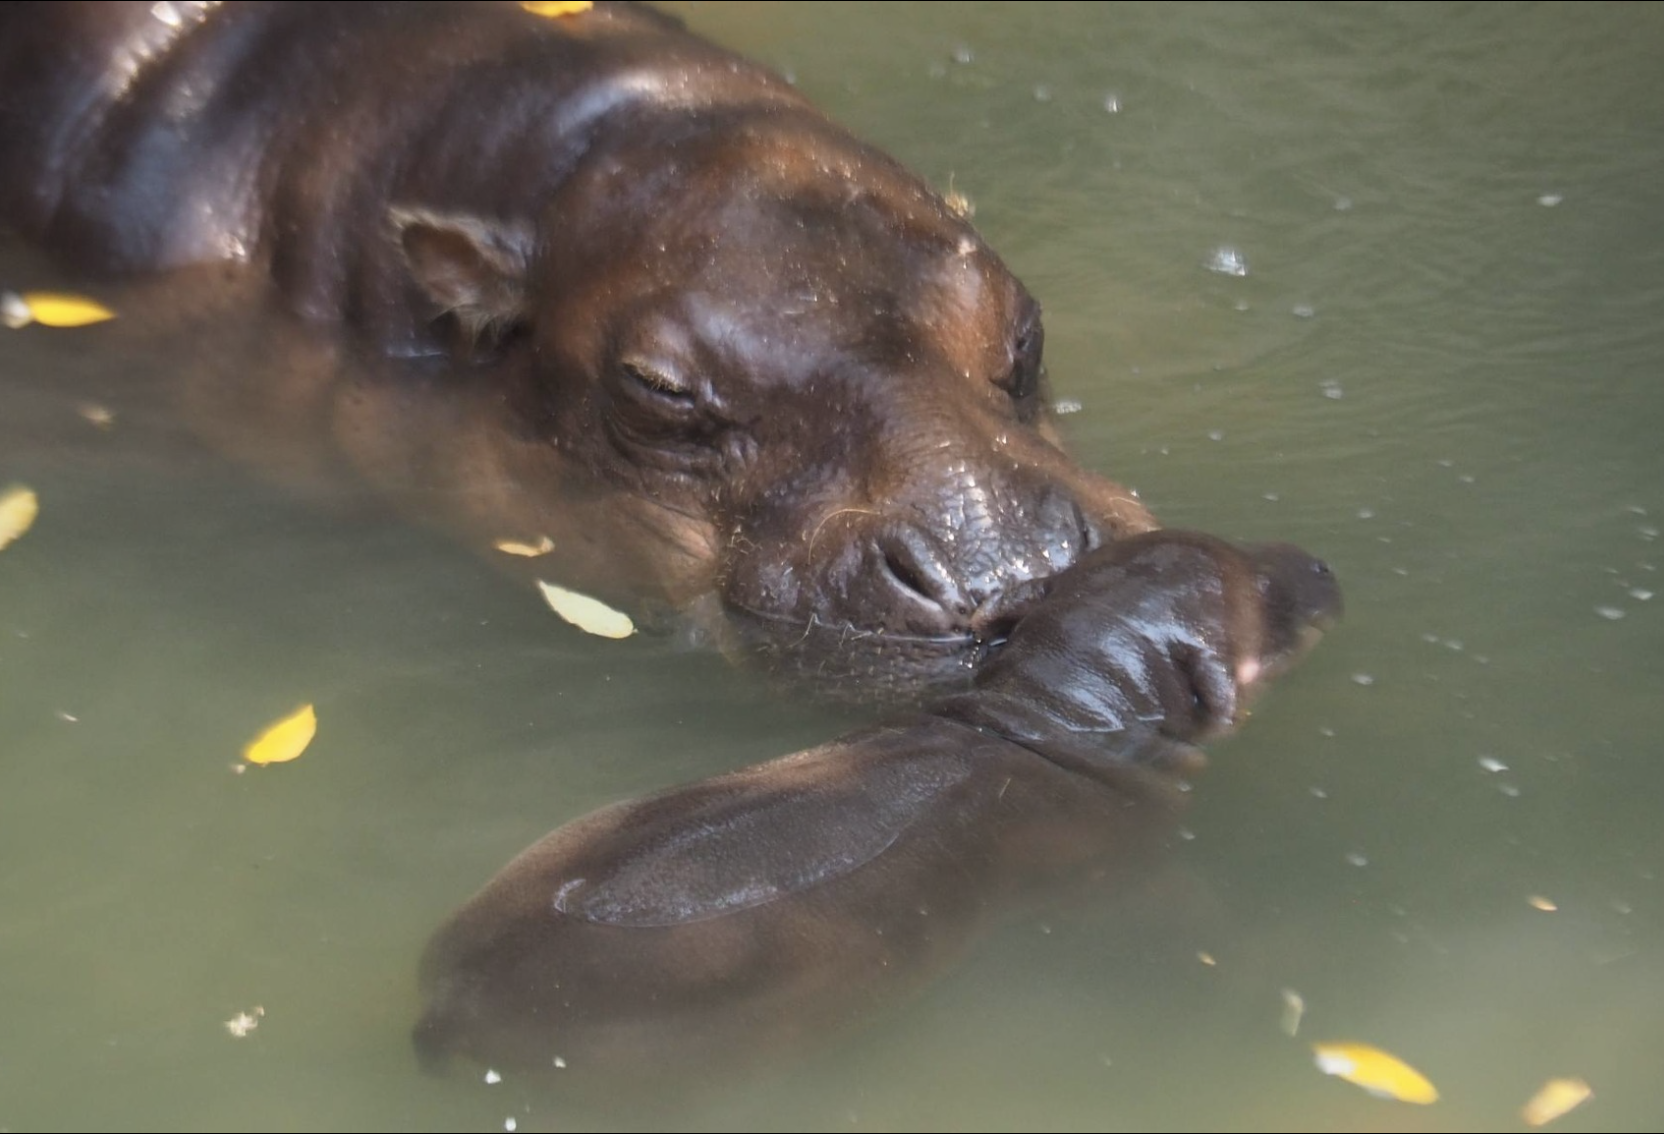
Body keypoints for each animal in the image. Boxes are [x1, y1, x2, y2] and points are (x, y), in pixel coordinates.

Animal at [413, 531, 1342, 1079]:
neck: (1056, 706)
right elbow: (1207, 927)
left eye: (1208, 540)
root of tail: (452, 998)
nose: (1319, 561)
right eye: (1260, 597)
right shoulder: (1135, 868)